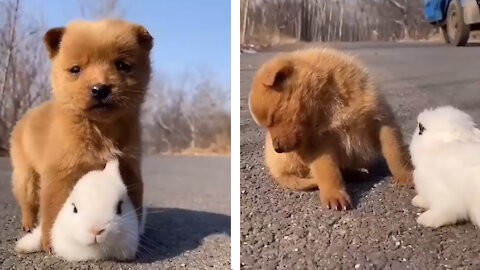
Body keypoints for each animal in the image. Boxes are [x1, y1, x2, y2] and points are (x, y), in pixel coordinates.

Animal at [248, 48, 412, 211]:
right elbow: (328, 171)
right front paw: (335, 195)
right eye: (267, 124)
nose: (277, 149)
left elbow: (395, 153)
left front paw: (406, 175)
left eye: (273, 118)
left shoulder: (381, 119)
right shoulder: (320, 145)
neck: (328, 103)